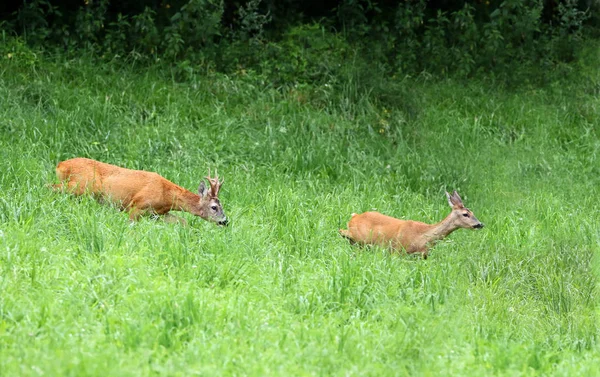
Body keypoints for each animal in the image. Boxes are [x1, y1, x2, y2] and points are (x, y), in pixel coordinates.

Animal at [52, 156, 227, 225]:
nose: (225, 221)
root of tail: (60, 165)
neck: (167, 195)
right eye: (214, 207)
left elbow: (182, 221)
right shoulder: (137, 205)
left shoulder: (156, 214)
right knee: (51, 187)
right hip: (82, 185)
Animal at [340, 191, 486, 258]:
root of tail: (355, 216)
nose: (480, 224)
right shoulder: (397, 250)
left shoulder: (422, 256)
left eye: (472, 212)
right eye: (465, 214)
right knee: (342, 231)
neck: (423, 238)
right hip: (360, 236)